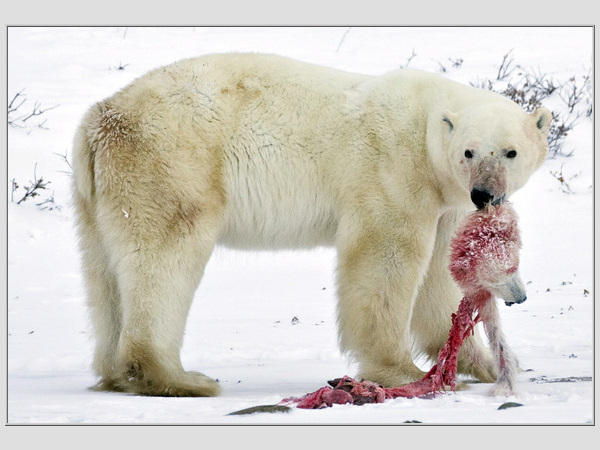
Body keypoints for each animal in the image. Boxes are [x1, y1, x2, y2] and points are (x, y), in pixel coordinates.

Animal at [72, 53, 552, 398]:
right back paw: (179, 379)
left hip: (98, 195)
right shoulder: (393, 169)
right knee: (165, 259)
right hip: (172, 163)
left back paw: (116, 373)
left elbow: (439, 276)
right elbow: (385, 257)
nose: (485, 195)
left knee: (105, 273)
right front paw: (400, 371)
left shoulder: (444, 200)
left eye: (510, 152)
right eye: (470, 151)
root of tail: (101, 117)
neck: (427, 125)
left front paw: (488, 364)